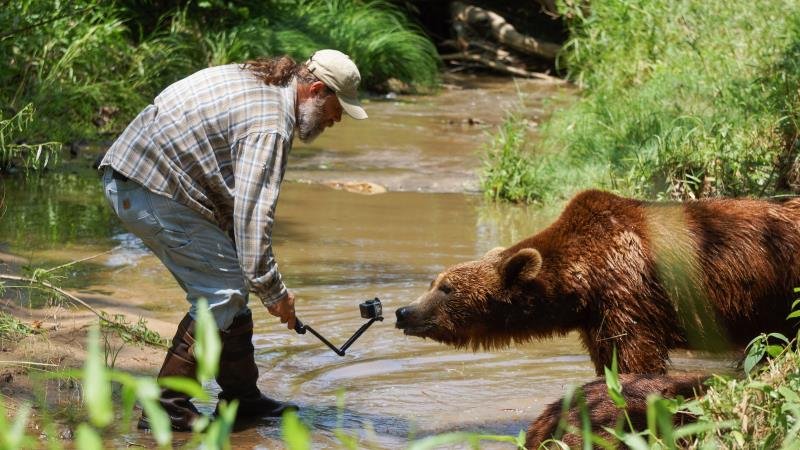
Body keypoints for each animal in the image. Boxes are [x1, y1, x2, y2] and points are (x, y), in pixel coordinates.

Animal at [395, 189, 800, 375]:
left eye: (446, 288)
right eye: (434, 282)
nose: (403, 311)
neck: (582, 281)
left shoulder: (629, 294)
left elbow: (636, 358)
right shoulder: (596, 318)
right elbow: (608, 360)